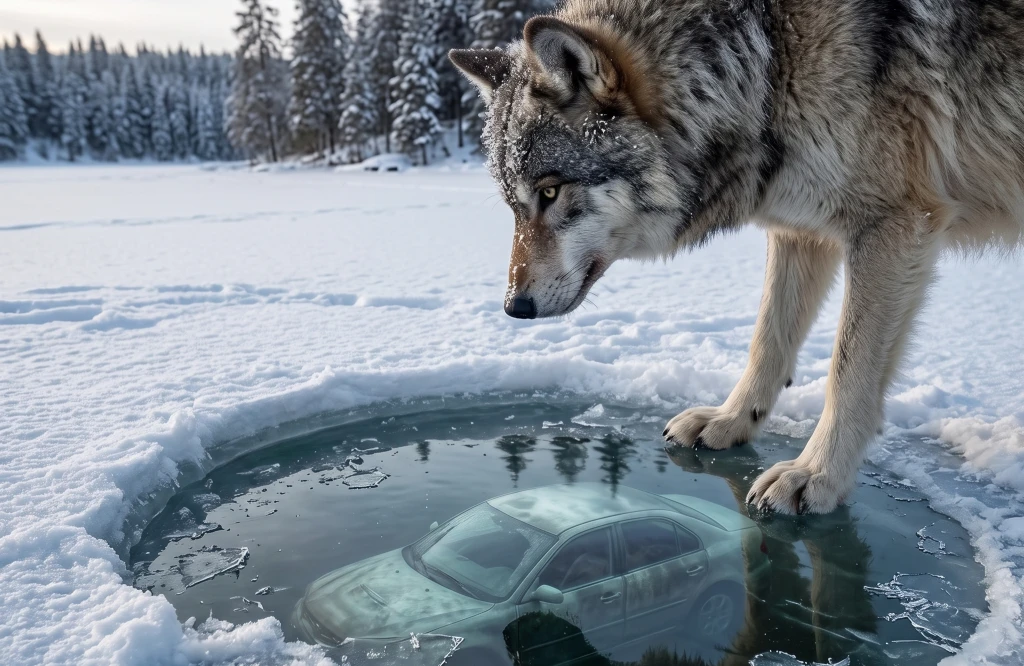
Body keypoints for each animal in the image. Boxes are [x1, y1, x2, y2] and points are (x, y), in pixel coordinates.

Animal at [450, 0, 1024, 514]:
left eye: (550, 192)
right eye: (513, 203)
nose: (514, 307)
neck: (766, 63)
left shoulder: (894, 227)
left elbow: (847, 372)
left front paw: (815, 475)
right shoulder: (800, 231)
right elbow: (767, 340)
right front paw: (729, 423)